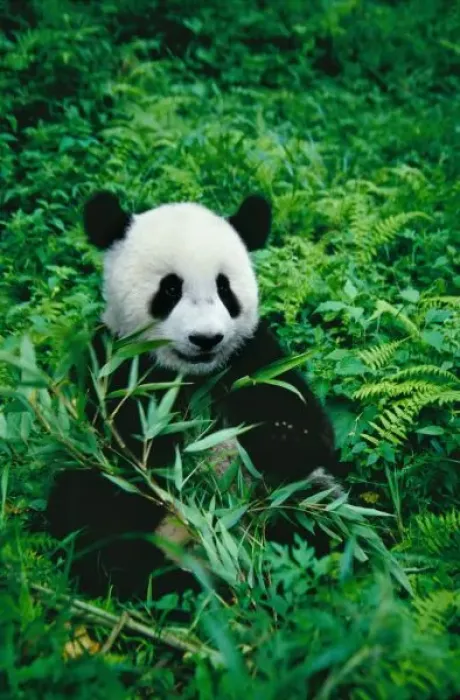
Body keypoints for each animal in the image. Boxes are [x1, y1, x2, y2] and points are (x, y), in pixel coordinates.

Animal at [46, 191, 344, 603]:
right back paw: (163, 582)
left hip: (280, 502)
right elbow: (119, 444)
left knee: (315, 513)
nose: (206, 339)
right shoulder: (115, 363)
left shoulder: (250, 356)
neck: (192, 375)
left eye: (224, 288)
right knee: (94, 515)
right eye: (171, 289)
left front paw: (282, 437)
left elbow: (306, 425)